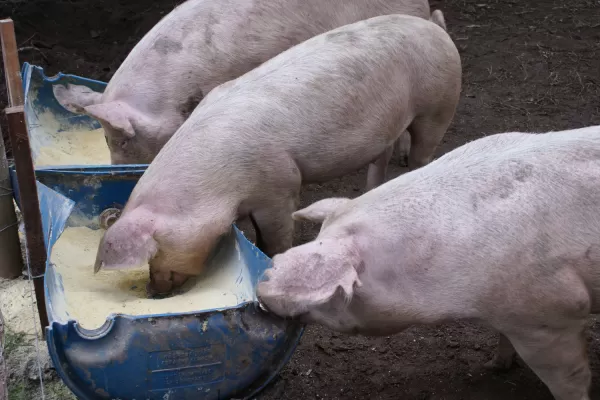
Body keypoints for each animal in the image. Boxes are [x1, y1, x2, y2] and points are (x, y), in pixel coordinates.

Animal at [94, 15, 462, 296]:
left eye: (155, 250)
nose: (153, 290)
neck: (218, 185)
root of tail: (435, 29)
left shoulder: (280, 186)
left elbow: (276, 236)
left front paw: (272, 260)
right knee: (381, 159)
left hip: (438, 106)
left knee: (422, 152)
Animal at [254, 126, 600, 400]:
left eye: (340, 293)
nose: (262, 285)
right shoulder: (510, 315)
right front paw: (493, 366)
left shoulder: (551, 315)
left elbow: (570, 379)